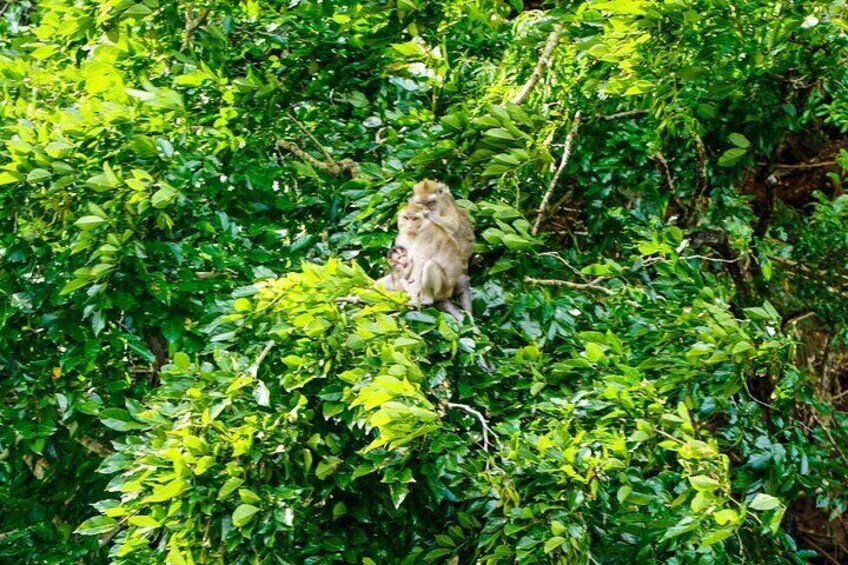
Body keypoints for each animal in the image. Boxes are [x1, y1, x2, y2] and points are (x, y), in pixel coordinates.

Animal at [412, 180, 476, 316]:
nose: (425, 209)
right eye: (421, 203)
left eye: (430, 202)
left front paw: (430, 215)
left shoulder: (447, 204)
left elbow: (453, 226)